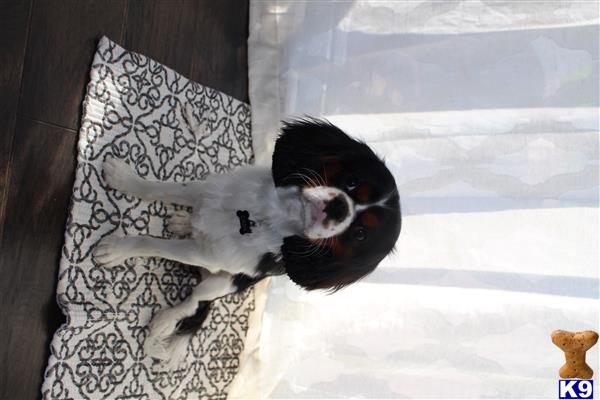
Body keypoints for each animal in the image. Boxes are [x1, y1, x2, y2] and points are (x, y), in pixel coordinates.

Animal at [94, 116, 400, 366]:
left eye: (359, 234)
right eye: (352, 181)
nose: (339, 208)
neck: (261, 216)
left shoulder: (204, 254)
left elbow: (155, 244)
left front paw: (117, 249)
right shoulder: (208, 190)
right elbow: (162, 189)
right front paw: (124, 179)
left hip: (222, 283)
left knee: (194, 301)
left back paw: (165, 320)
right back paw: (184, 222)